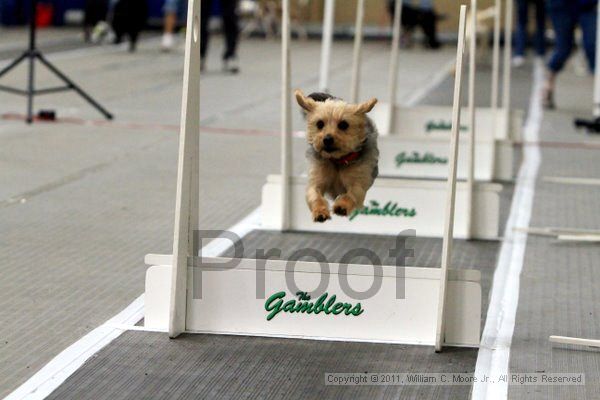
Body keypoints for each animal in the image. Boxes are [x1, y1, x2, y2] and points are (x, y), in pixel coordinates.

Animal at [296, 89, 380, 223]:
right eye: (320, 124)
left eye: (343, 124)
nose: (327, 139)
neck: (337, 160)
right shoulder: (316, 181)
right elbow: (315, 196)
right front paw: (320, 212)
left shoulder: (358, 183)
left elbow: (351, 194)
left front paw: (342, 206)